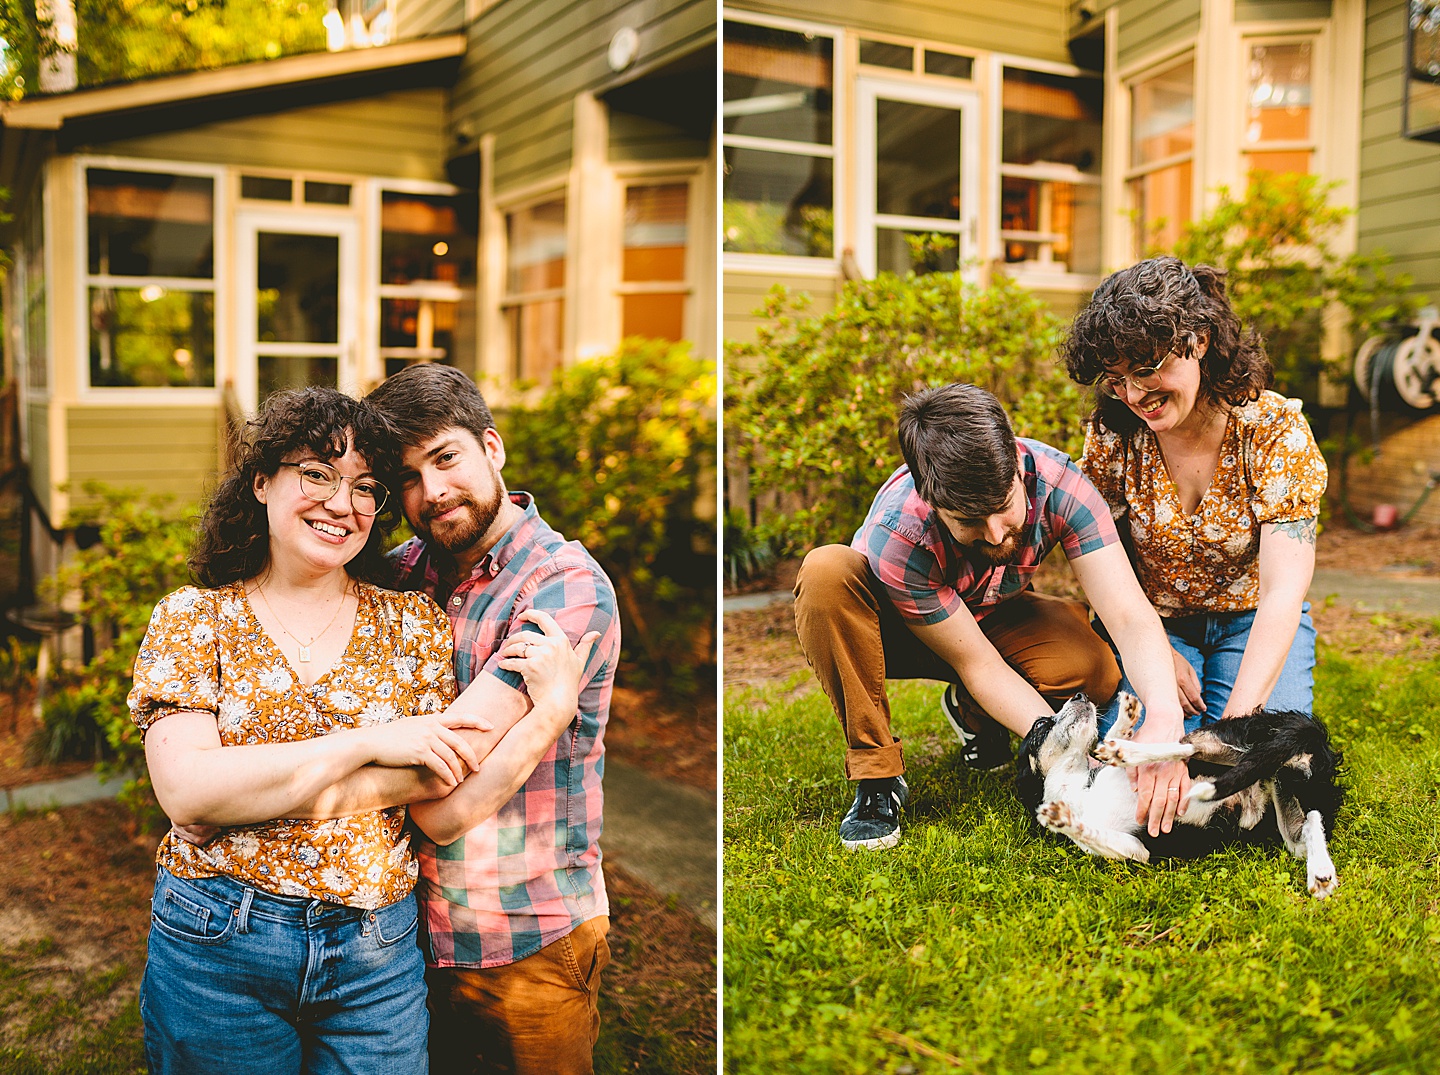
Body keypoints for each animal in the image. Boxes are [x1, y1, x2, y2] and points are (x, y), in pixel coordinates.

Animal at [1019, 693, 1342, 897]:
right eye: (1041, 724)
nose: (1079, 695)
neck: (1077, 786)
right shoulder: (1135, 850)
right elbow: (1088, 829)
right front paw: (1062, 819)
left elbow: (1110, 738)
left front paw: (1123, 725)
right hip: (1288, 821)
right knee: (1311, 822)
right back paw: (1321, 872)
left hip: (1227, 745)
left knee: (1185, 747)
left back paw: (1127, 750)